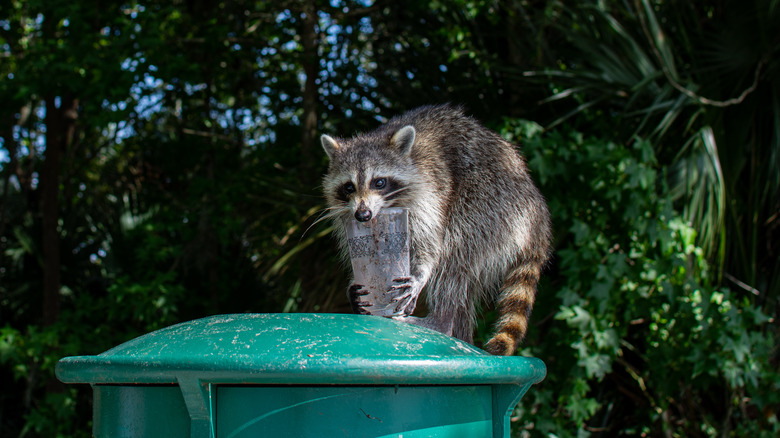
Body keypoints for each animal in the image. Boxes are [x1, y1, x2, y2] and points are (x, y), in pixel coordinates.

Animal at [320, 105, 552, 356]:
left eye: (379, 182)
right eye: (349, 187)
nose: (363, 215)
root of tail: (538, 220)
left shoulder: (429, 194)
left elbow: (431, 244)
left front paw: (422, 272)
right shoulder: (346, 216)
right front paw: (354, 285)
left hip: (493, 203)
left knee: (455, 251)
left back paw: (441, 320)